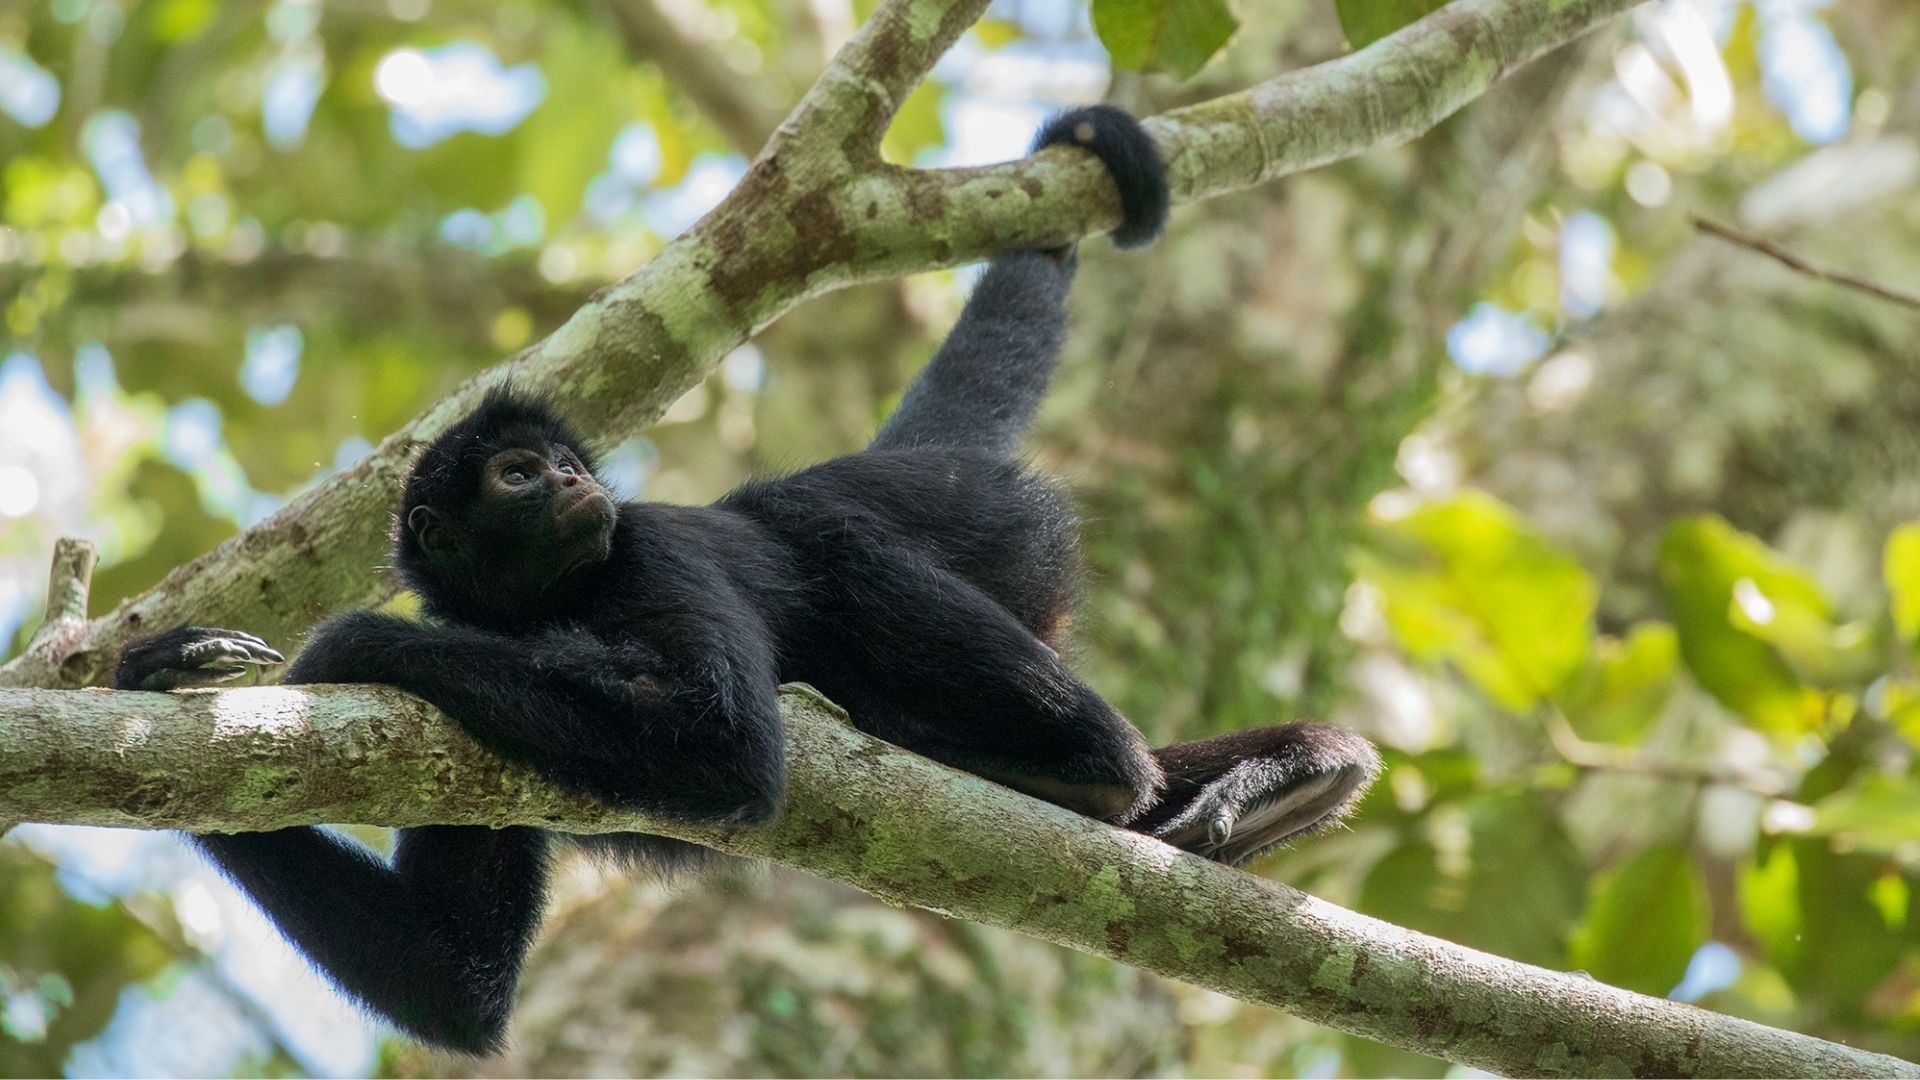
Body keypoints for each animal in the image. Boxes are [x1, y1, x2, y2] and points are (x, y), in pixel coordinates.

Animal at [114, 105, 1381, 1053]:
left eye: (570, 466)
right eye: (520, 474)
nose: (572, 480)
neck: (549, 601)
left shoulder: (646, 545)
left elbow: (725, 744)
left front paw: (353, 645)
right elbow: (453, 982)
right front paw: (161, 672)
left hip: (980, 525)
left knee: (834, 546)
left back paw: (1104, 767)